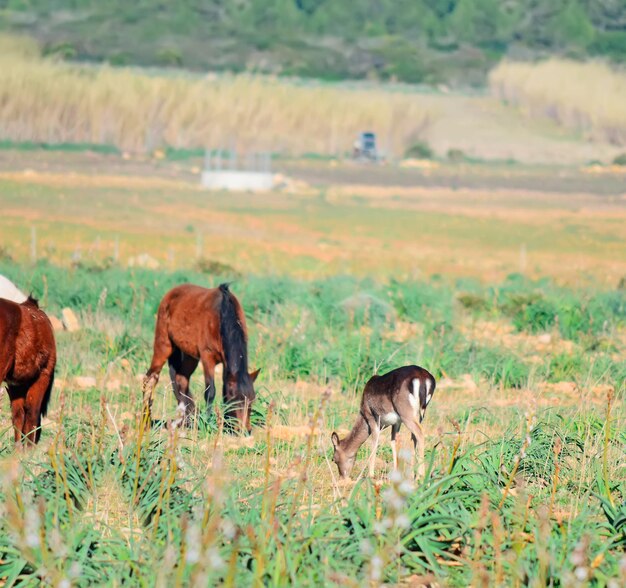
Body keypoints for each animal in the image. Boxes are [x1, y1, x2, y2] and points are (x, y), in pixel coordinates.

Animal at [142, 284, 258, 432]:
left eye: (252, 400)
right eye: (236, 400)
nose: (245, 429)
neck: (222, 315)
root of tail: (170, 294)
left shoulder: (226, 363)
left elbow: (224, 390)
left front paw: (226, 424)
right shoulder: (207, 357)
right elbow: (210, 392)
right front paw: (208, 424)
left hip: (189, 356)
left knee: (181, 379)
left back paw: (184, 419)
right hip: (164, 345)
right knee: (150, 378)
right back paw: (145, 420)